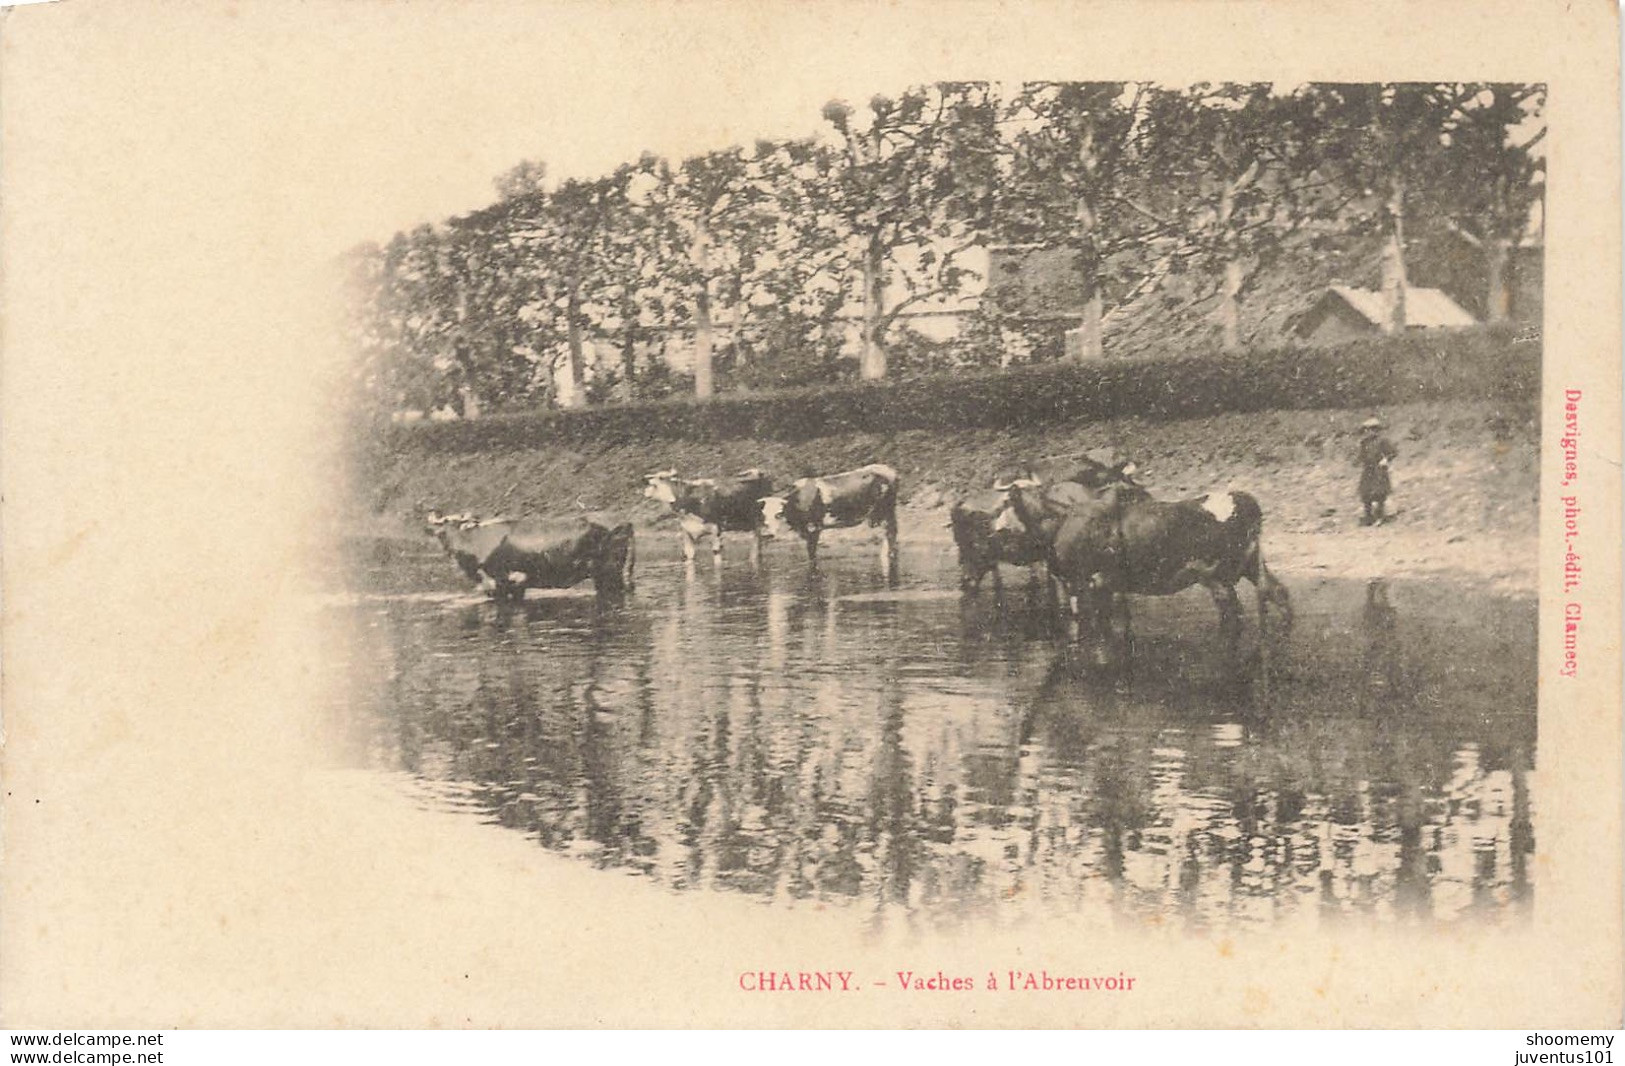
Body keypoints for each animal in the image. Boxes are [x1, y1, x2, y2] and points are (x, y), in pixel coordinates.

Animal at [425, 513, 633, 604]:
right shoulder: (518, 585)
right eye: (441, 533)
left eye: (458, 526)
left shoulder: (502, 582)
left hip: (610, 573)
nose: (453, 549)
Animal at [640, 468, 773, 565]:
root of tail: (757, 471)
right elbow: (689, 557)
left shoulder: (716, 529)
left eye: (659, 479)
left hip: (758, 521)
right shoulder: (687, 532)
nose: (644, 480)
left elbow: (717, 556)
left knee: (756, 545)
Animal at [757, 461, 903, 578]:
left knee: (892, 534)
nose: (766, 534)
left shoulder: (813, 528)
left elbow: (812, 553)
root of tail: (888, 469)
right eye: (762, 515)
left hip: (888, 510)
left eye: (779, 514)